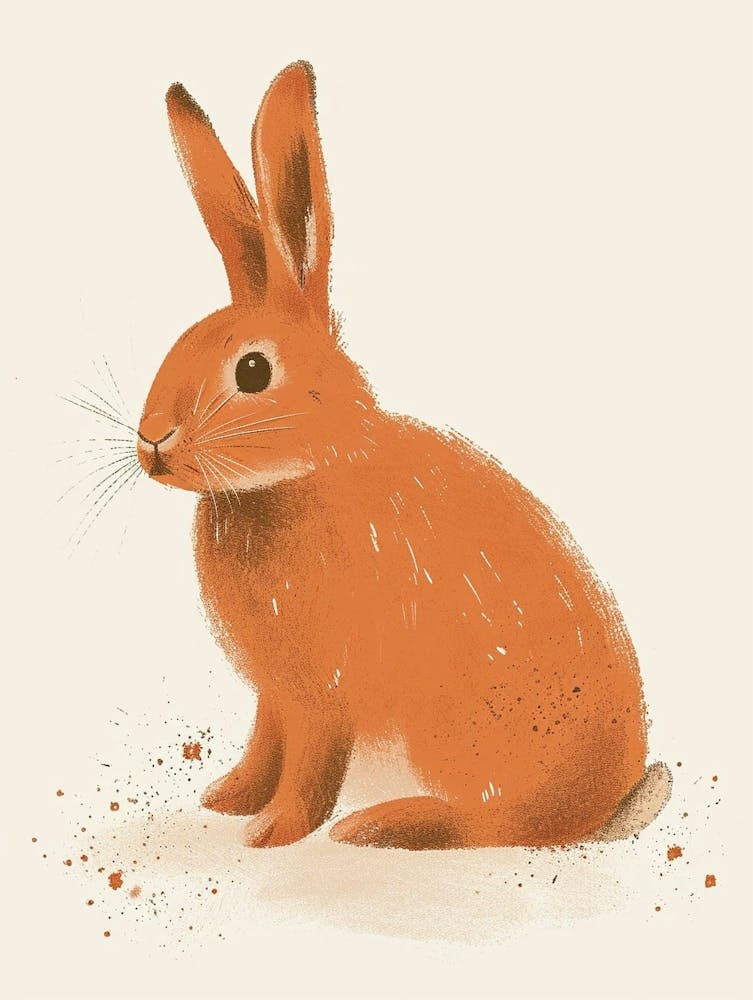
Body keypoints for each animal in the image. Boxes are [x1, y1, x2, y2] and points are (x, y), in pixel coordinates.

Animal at [136, 61, 670, 849]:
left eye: (253, 371)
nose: (152, 440)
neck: (302, 473)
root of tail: (602, 801)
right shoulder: (274, 694)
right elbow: (265, 746)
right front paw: (228, 800)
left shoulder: (322, 699)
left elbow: (307, 766)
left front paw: (272, 834)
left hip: (453, 730)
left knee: (493, 825)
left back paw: (383, 824)